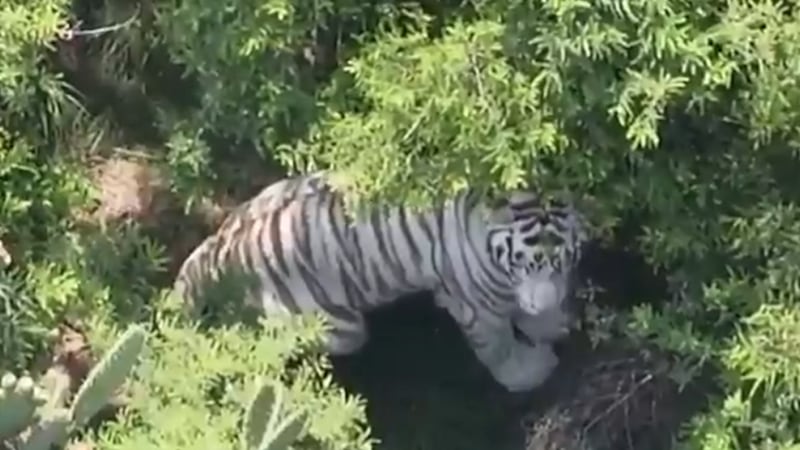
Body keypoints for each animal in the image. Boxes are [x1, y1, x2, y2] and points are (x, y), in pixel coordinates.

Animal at [172, 171, 587, 392]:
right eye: (523, 263)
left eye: (563, 260)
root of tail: (223, 247)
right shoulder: (476, 305)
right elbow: (499, 348)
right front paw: (531, 372)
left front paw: (553, 324)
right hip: (339, 328)